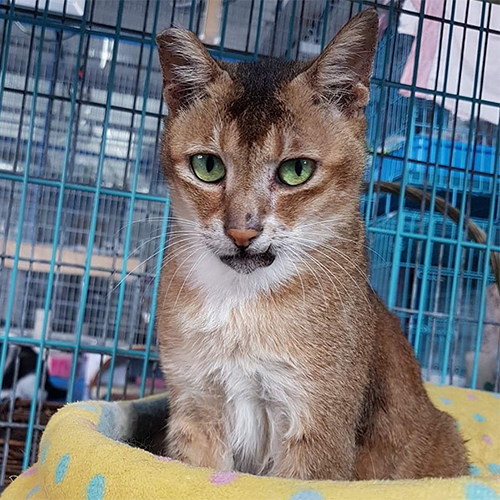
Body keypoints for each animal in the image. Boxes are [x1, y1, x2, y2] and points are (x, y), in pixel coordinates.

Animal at [156, 10, 468, 480]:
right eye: (207, 166)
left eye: (296, 171)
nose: (242, 232)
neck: (241, 305)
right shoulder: (195, 406)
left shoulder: (318, 423)